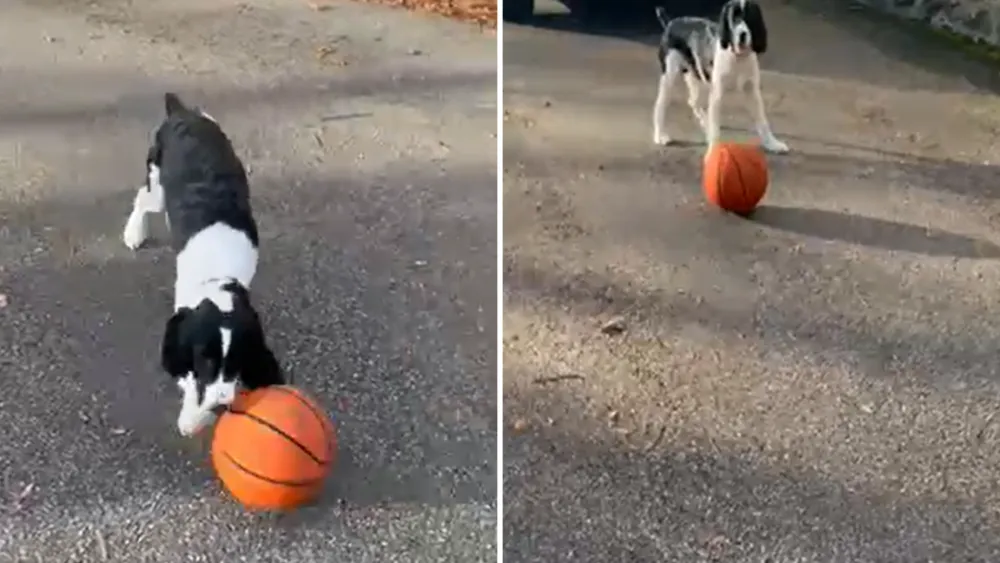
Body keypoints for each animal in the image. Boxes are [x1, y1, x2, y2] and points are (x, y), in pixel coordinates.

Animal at [124, 92, 286, 438]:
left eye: (237, 360)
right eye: (206, 361)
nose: (221, 402)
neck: (219, 275)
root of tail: (182, 112)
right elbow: (187, 378)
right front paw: (192, 417)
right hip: (157, 185)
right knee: (143, 199)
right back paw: (134, 232)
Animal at [656, 0, 788, 154]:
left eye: (750, 17)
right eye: (733, 19)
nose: (742, 34)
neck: (737, 57)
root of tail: (671, 23)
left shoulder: (752, 91)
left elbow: (762, 121)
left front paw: (772, 144)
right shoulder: (718, 93)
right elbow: (715, 129)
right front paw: (714, 149)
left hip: (699, 76)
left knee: (693, 101)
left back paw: (705, 123)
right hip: (669, 76)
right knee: (660, 105)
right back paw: (660, 135)